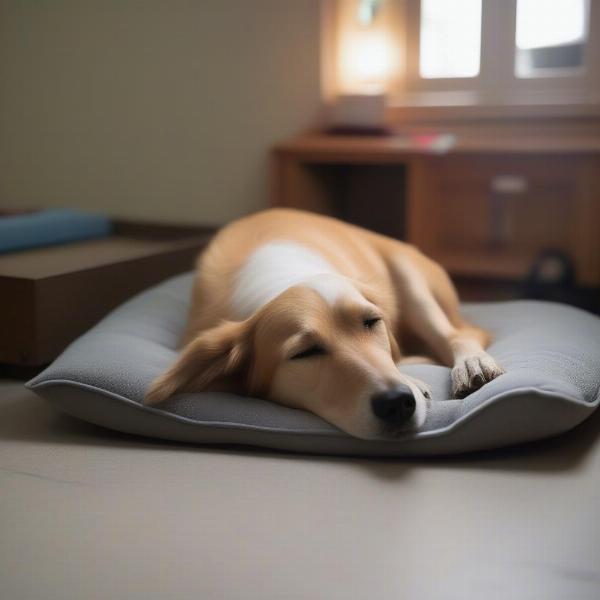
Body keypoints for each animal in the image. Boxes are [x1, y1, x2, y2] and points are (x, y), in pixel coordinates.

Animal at [144, 209, 502, 438]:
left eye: (372, 321)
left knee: (457, 334)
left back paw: (471, 363)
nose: (397, 403)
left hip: (409, 276)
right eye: (304, 353)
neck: (286, 280)